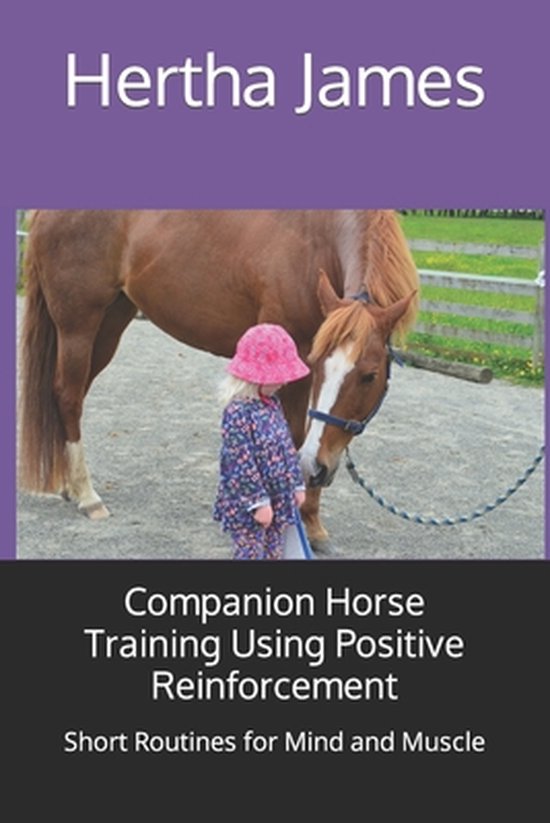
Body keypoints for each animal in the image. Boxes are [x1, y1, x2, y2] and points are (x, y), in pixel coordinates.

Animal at [18, 209, 419, 553]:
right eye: (319, 366)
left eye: (368, 376)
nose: (316, 470)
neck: (318, 241)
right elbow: (294, 435)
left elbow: (309, 435)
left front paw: (314, 524)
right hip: (78, 324)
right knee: (69, 396)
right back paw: (88, 496)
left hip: (111, 321)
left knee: (72, 395)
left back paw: (70, 485)